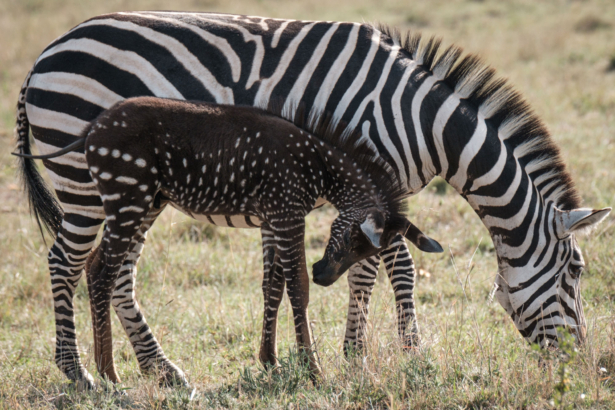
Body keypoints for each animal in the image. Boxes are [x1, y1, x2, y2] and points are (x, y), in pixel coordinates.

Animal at [26, 96, 442, 384]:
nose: (324, 274)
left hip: (145, 204)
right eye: (355, 239)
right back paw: (106, 374)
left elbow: (274, 284)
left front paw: (271, 359)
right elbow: (298, 287)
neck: (319, 166)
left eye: (363, 248)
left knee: (97, 266)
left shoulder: (274, 217)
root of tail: (94, 127)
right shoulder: (287, 213)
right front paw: (312, 369)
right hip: (127, 198)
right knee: (99, 272)